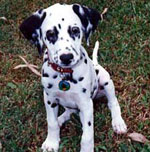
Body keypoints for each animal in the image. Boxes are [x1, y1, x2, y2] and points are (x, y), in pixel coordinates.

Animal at [19, 2, 126, 151]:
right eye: (50, 34)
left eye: (75, 30)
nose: (66, 57)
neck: (64, 73)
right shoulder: (49, 99)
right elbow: (51, 122)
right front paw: (52, 142)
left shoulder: (86, 104)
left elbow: (87, 135)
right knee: (68, 112)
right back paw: (61, 119)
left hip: (106, 81)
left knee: (113, 103)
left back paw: (118, 122)